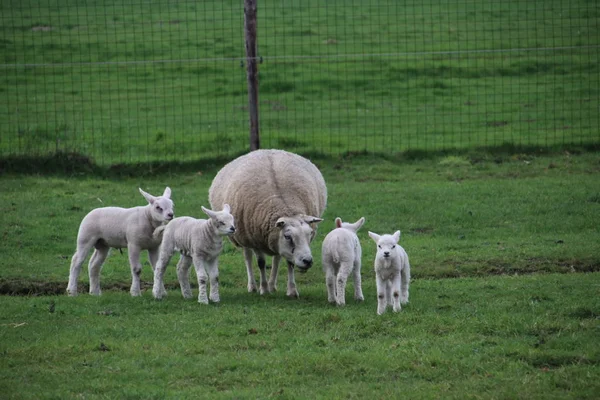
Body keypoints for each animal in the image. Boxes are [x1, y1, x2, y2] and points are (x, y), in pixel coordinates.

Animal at [207, 149, 328, 296]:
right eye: (288, 236)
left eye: (310, 233)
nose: (308, 261)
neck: (284, 207)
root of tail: (266, 150)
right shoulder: (255, 240)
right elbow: (261, 263)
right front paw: (263, 289)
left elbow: (290, 263)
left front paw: (292, 290)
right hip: (243, 236)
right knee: (248, 258)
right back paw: (253, 286)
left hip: (272, 238)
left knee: (277, 258)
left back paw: (272, 285)